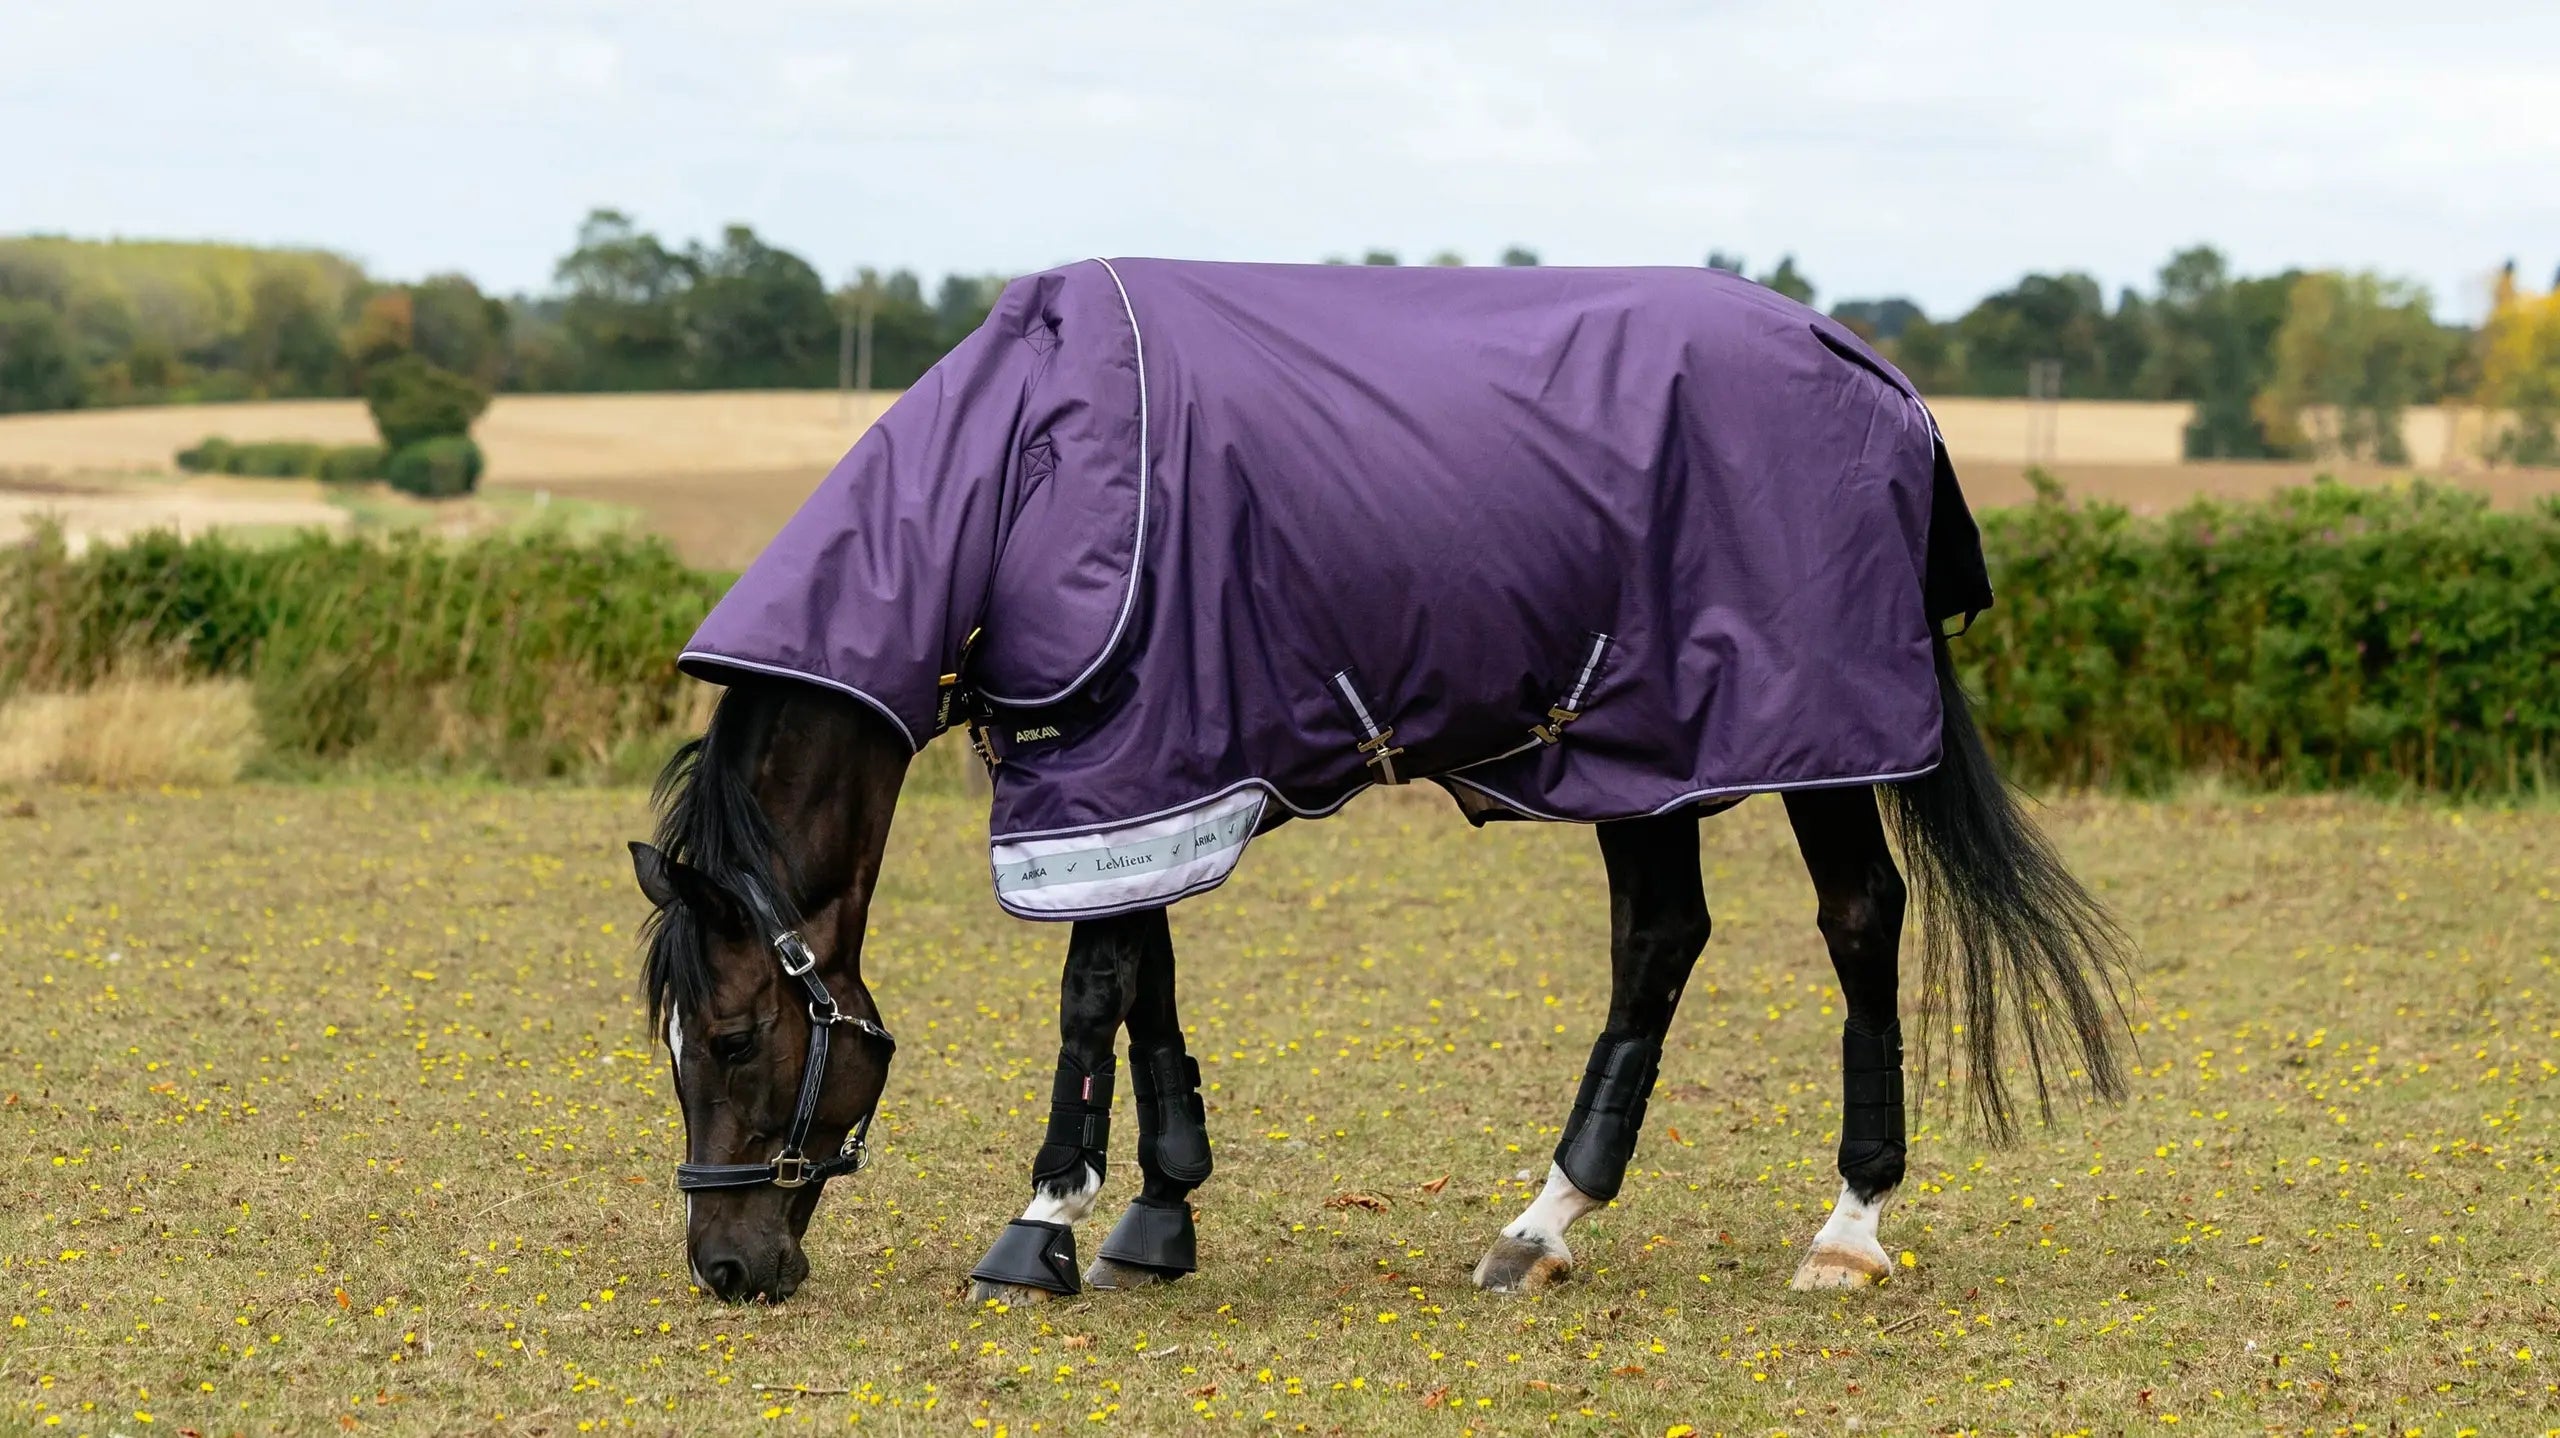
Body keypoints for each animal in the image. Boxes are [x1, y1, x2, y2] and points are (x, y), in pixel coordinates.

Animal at [631, 259, 2132, 1305]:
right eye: (680, 1049)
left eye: (734, 1038)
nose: (726, 1265)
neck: (1019, 468)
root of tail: (1872, 371)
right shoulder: (1150, 774)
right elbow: (1150, 978)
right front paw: (1157, 1217)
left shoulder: (1125, 760)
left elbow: (1093, 988)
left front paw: (1042, 1225)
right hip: (1645, 751)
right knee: (1660, 938)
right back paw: (1541, 1225)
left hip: (1814, 735)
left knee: (1860, 919)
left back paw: (1846, 1229)